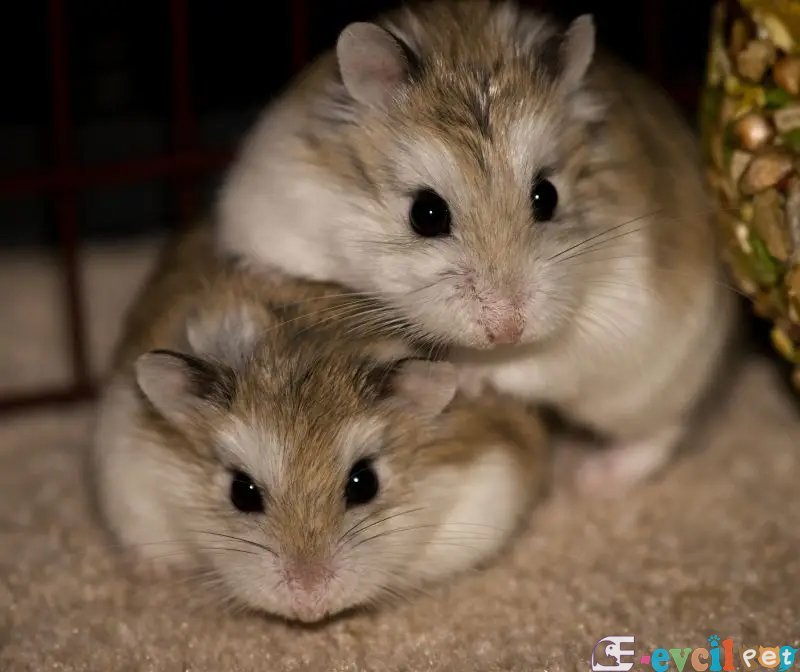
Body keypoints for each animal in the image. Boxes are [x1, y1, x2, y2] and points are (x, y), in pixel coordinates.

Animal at [216, 0, 736, 492]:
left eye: (547, 196)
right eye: (426, 213)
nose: (508, 330)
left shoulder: (602, 325)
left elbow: (535, 362)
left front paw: (462, 373)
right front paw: (262, 272)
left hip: (651, 383)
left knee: (659, 433)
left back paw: (587, 477)